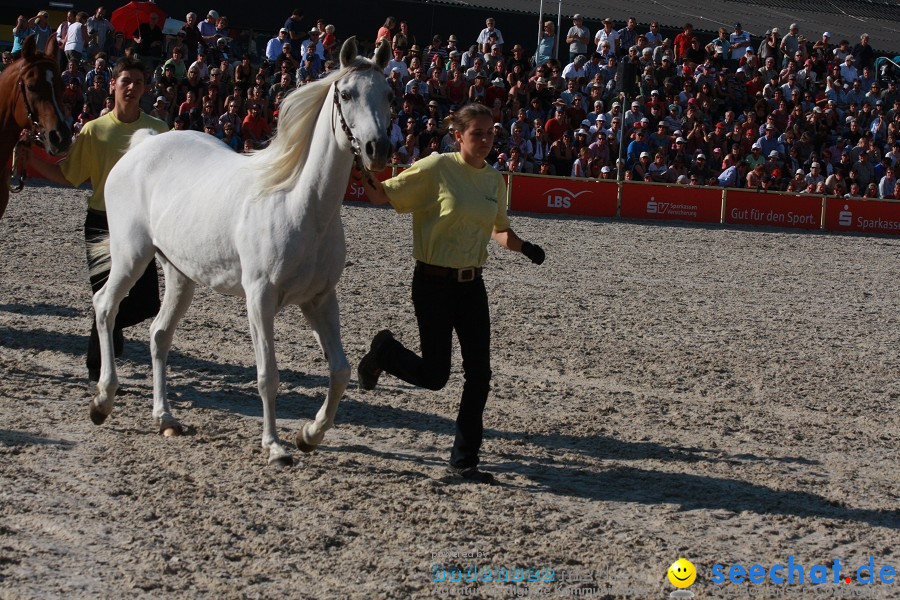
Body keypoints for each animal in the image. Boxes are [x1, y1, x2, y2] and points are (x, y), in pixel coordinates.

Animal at [90, 39, 394, 466]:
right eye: (347, 94)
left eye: (387, 93)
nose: (377, 149)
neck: (299, 204)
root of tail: (145, 142)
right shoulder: (260, 299)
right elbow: (269, 374)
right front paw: (275, 446)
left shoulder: (319, 300)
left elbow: (340, 371)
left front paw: (309, 435)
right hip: (131, 255)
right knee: (105, 306)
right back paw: (102, 400)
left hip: (180, 275)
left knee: (159, 334)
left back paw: (165, 418)